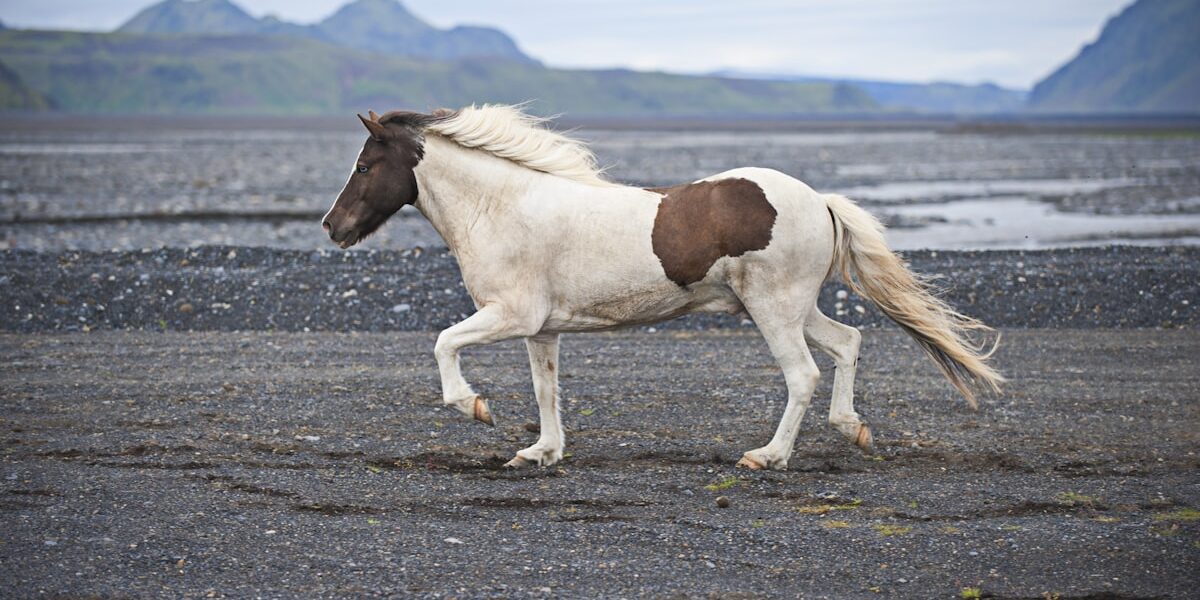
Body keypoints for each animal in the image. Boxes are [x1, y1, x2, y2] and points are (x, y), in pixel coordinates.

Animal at [321, 104, 1004, 470]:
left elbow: (443, 344)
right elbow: (546, 391)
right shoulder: (542, 329)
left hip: (773, 308)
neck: (504, 206)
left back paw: (767, 456)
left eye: (364, 165)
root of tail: (819, 200)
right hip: (792, 306)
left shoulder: (509, 314)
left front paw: (474, 407)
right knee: (847, 342)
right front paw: (541, 453)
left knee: (804, 373)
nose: (333, 227)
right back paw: (852, 428)